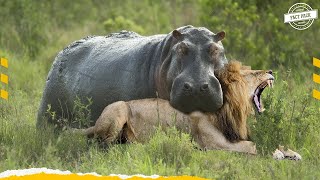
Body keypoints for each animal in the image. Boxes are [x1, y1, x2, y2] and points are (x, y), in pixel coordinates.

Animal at [82, 61, 272, 154]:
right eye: (254, 73)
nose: (271, 71)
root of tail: (95, 124)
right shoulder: (214, 144)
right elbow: (253, 146)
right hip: (119, 108)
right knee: (103, 145)